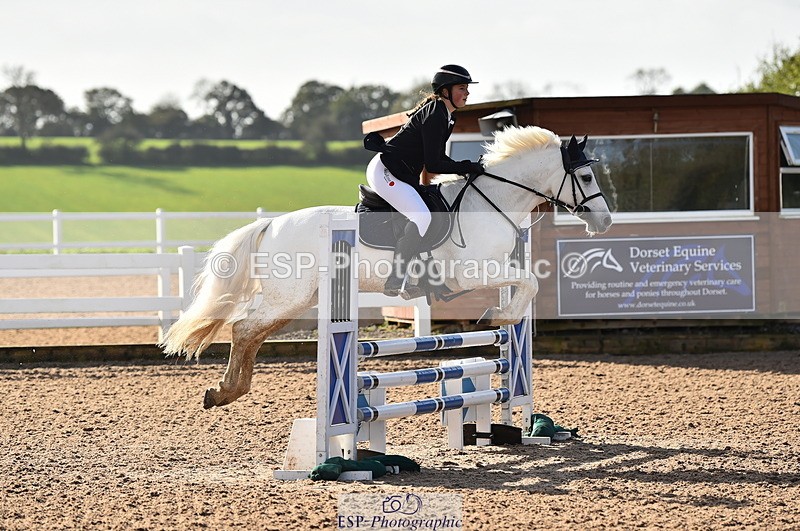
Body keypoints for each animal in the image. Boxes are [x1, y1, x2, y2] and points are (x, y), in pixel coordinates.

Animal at [161, 125, 613, 409]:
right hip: (288, 296)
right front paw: (499, 315)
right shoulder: (470, 274)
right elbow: (529, 282)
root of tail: (271, 224)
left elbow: (526, 282)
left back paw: (229, 390)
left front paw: (501, 315)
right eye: (587, 177)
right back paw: (224, 391)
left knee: (251, 331)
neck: (490, 203)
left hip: (296, 300)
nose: (605, 222)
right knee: (243, 328)